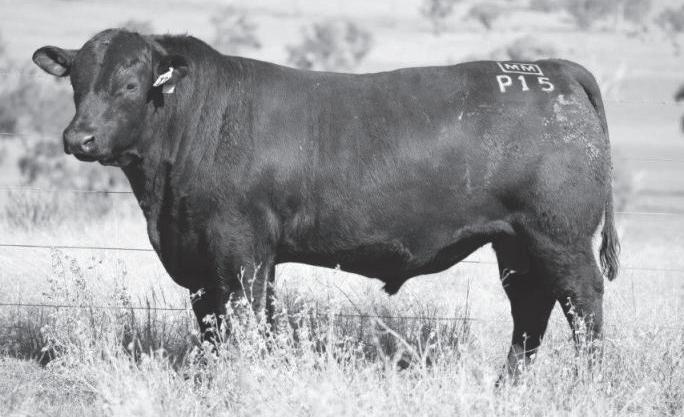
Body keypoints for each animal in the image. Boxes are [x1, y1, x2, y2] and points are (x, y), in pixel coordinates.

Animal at [32, 29, 619, 379]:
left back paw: (584, 383)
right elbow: (215, 324)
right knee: (531, 310)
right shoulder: (202, 256)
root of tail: (552, 68)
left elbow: (244, 318)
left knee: (582, 302)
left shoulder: (239, 248)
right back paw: (507, 387)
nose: (78, 138)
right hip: (515, 243)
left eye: (131, 84)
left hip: (559, 235)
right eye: (77, 83)